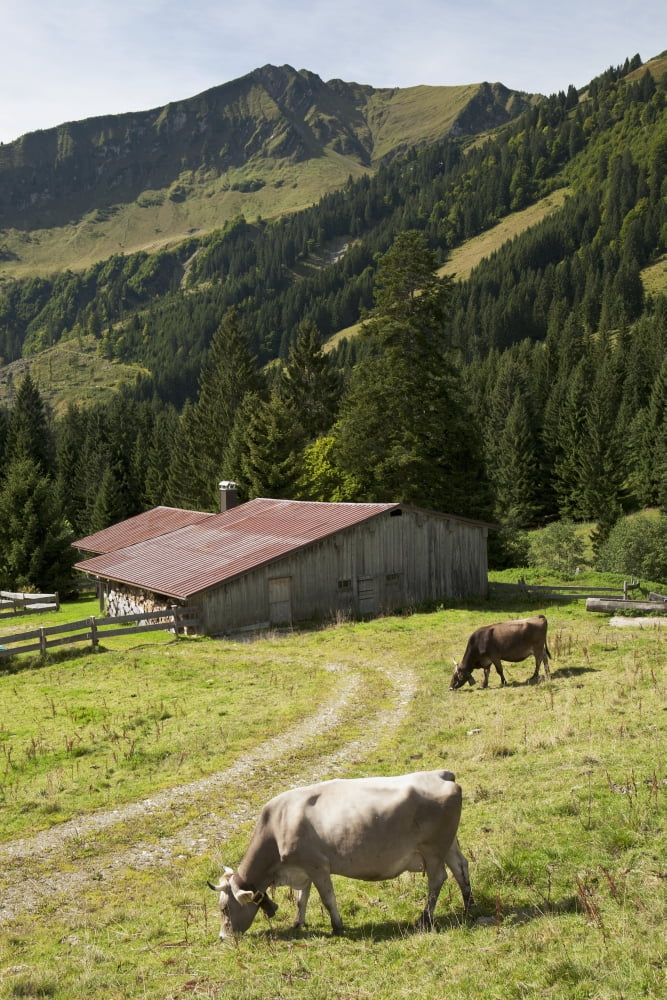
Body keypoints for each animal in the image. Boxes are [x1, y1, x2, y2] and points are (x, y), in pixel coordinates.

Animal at [207, 769, 473, 938]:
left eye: (224, 908)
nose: (222, 937)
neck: (278, 824)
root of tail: (440, 774)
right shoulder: (302, 869)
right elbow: (302, 897)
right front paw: (297, 922)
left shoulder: (317, 866)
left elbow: (327, 898)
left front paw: (337, 927)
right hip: (449, 843)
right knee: (461, 867)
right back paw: (469, 906)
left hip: (432, 848)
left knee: (438, 879)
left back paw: (425, 919)